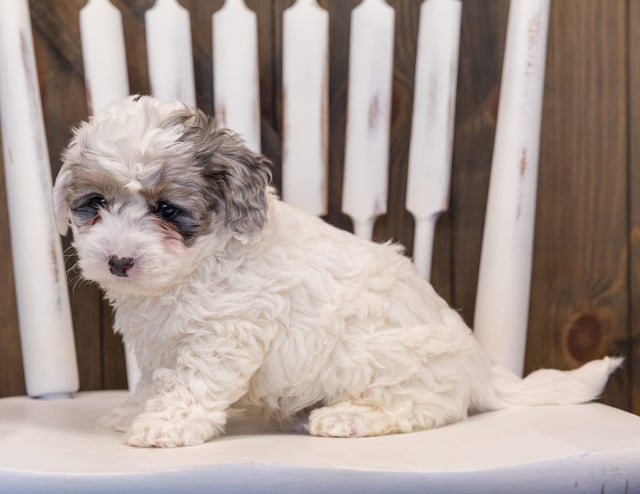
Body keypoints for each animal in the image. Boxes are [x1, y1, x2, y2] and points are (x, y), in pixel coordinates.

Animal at [52, 95, 624, 448]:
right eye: (95, 203)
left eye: (168, 210)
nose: (119, 261)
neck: (194, 266)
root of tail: (483, 371)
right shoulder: (158, 347)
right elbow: (154, 380)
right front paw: (134, 411)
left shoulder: (223, 335)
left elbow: (191, 385)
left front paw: (165, 426)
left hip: (386, 360)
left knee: (425, 407)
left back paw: (348, 416)